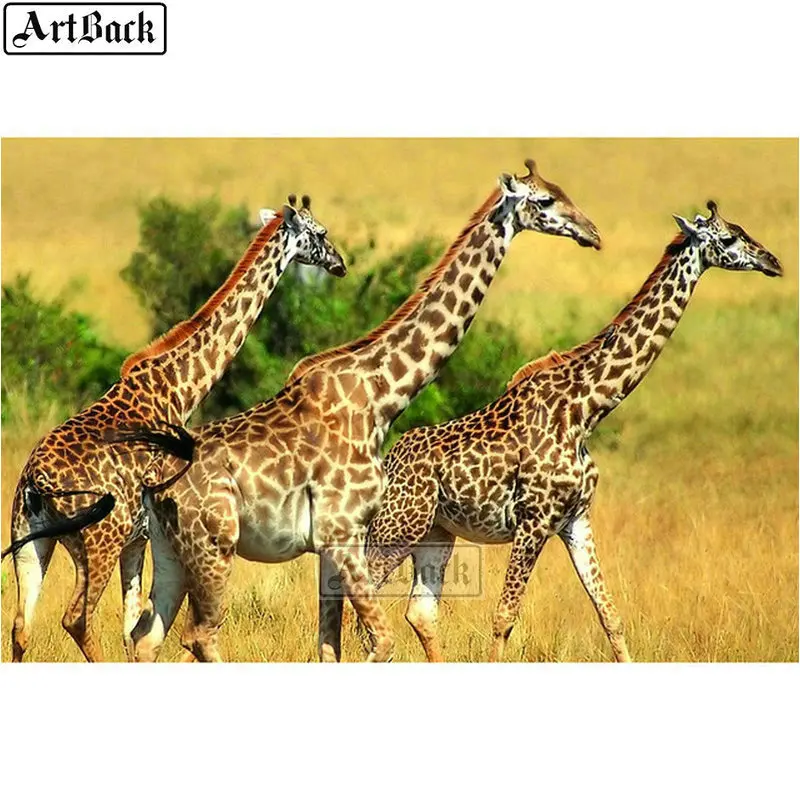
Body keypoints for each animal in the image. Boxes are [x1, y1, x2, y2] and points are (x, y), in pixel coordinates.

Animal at [5, 195, 346, 662]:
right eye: (321, 233)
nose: (340, 264)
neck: (181, 387)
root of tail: (36, 481)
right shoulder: (150, 535)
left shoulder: (138, 540)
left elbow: (132, 627)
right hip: (97, 541)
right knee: (75, 619)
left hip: (29, 538)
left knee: (21, 626)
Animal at [129, 158, 603, 663]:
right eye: (545, 200)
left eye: (562, 190)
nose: (592, 232)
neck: (381, 396)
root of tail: (155, 485)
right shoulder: (343, 530)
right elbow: (382, 640)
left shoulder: (331, 544)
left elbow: (329, 645)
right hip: (215, 546)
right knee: (199, 635)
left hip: (169, 551)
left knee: (147, 637)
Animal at [364, 200, 783, 662]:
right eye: (728, 238)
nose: (773, 261)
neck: (585, 410)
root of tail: (387, 461)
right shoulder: (534, 520)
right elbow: (503, 617)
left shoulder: (576, 519)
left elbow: (610, 615)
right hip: (397, 526)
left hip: (435, 532)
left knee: (420, 612)